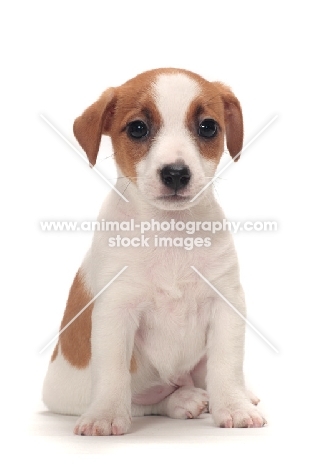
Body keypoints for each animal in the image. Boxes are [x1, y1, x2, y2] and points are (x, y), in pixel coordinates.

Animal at [42, 68, 266, 436]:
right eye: (137, 128)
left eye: (208, 127)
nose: (176, 173)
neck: (169, 232)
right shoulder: (116, 311)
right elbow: (113, 372)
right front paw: (105, 414)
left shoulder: (226, 302)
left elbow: (226, 364)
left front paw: (234, 405)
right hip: (69, 396)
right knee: (146, 402)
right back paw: (182, 400)